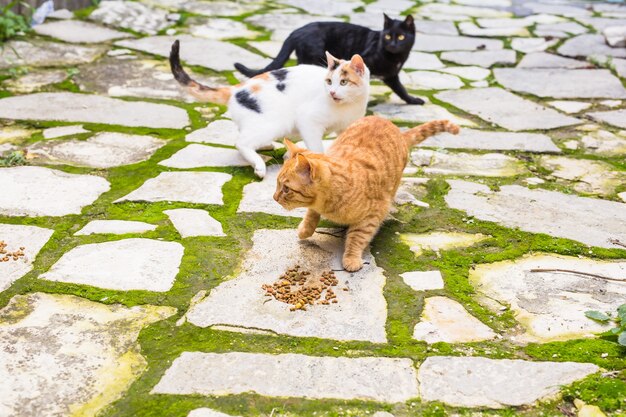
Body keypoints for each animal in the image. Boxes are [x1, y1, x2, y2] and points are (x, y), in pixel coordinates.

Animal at [168, 41, 368, 177]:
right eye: (328, 81)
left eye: (343, 82)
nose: (332, 91)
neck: (347, 104)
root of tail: (237, 88)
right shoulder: (308, 120)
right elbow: (317, 148)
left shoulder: (346, 127)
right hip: (276, 123)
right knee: (241, 142)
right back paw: (259, 165)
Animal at [235, 14, 424, 105]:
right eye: (387, 36)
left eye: (401, 37)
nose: (392, 44)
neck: (395, 56)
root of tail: (297, 31)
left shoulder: (391, 76)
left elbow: (401, 90)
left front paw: (413, 100)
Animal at [272, 115, 458, 272]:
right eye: (277, 183)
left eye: (286, 188)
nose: (274, 198)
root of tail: (391, 124)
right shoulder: (316, 207)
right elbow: (311, 215)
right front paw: (305, 230)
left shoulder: (372, 215)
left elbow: (357, 238)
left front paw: (351, 258)